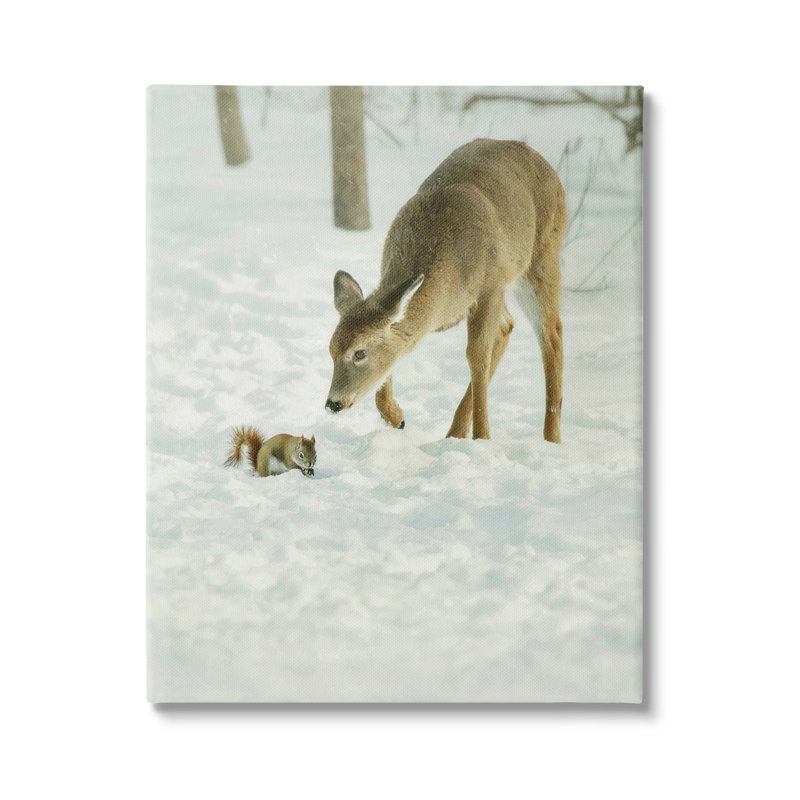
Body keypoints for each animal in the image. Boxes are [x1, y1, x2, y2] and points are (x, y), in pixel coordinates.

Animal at [325, 138, 566, 442]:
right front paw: (397, 417)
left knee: (551, 333)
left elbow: (476, 356)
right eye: (330, 350)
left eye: (359, 353)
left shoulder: (491, 286)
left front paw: (483, 438)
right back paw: (454, 432)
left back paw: (551, 437)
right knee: (508, 326)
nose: (332, 403)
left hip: (542, 257)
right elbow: (396, 352)